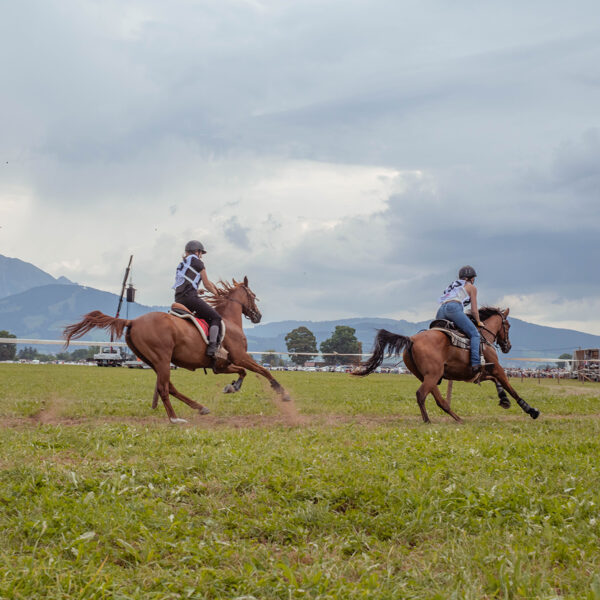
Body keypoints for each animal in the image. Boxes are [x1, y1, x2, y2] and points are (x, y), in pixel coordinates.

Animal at [63, 277, 291, 423]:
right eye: (253, 295)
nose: (258, 316)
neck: (229, 321)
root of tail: (133, 321)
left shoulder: (223, 365)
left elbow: (244, 372)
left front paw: (232, 386)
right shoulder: (240, 356)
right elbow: (263, 370)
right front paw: (282, 392)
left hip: (155, 362)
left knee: (169, 387)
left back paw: (200, 408)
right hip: (162, 359)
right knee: (164, 389)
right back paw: (174, 418)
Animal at [354, 307, 540, 423]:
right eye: (507, 325)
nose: (508, 346)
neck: (483, 337)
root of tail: (412, 339)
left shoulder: (480, 373)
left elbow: (496, 382)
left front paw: (504, 400)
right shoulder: (497, 368)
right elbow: (511, 388)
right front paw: (531, 410)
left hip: (428, 376)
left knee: (439, 399)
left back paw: (457, 418)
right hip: (433, 375)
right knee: (421, 395)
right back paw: (428, 420)